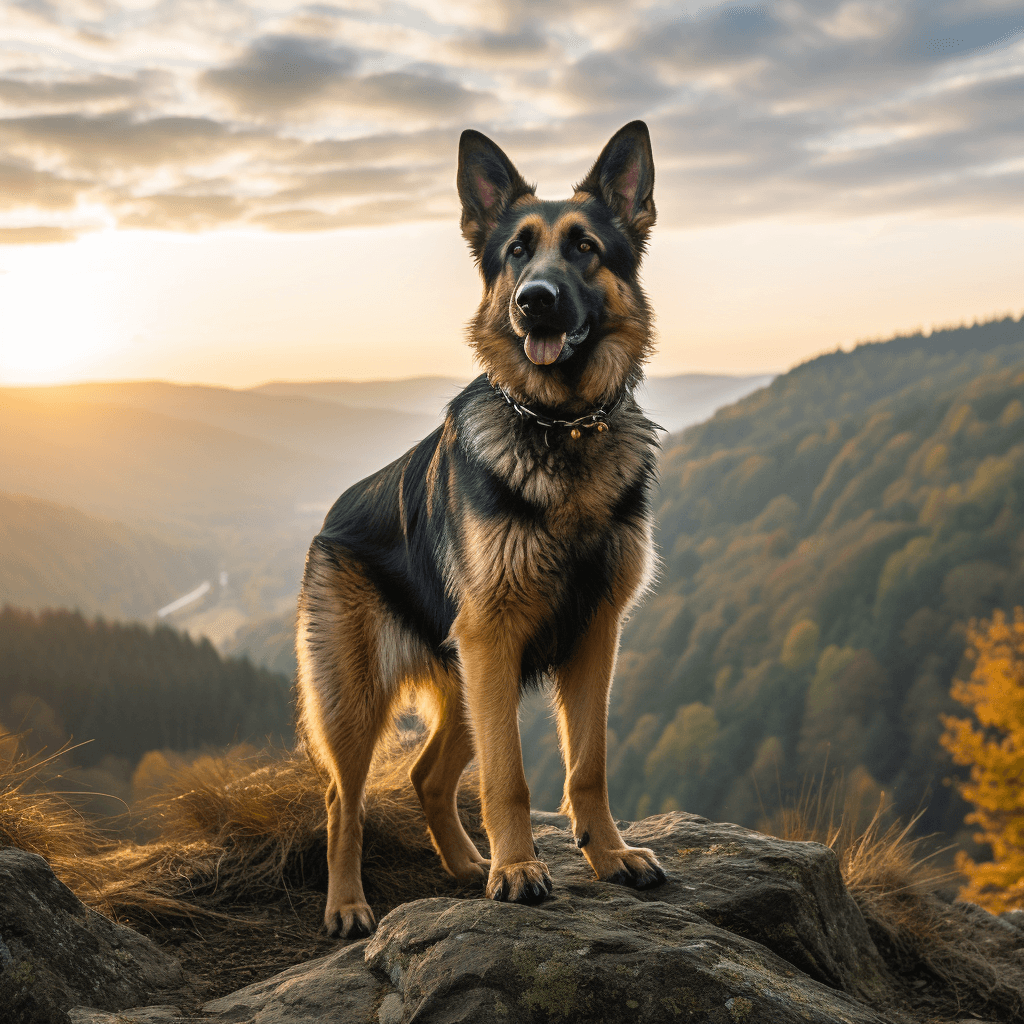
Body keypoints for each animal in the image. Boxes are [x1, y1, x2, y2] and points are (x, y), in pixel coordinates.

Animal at [296, 117, 663, 937]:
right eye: (517, 251)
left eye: (585, 248)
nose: (534, 301)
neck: (561, 428)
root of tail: (330, 519)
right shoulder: (495, 639)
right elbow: (510, 779)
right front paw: (520, 869)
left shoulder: (594, 637)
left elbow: (587, 766)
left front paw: (608, 856)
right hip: (365, 701)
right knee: (343, 800)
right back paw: (349, 904)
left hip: (472, 679)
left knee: (429, 776)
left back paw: (467, 867)